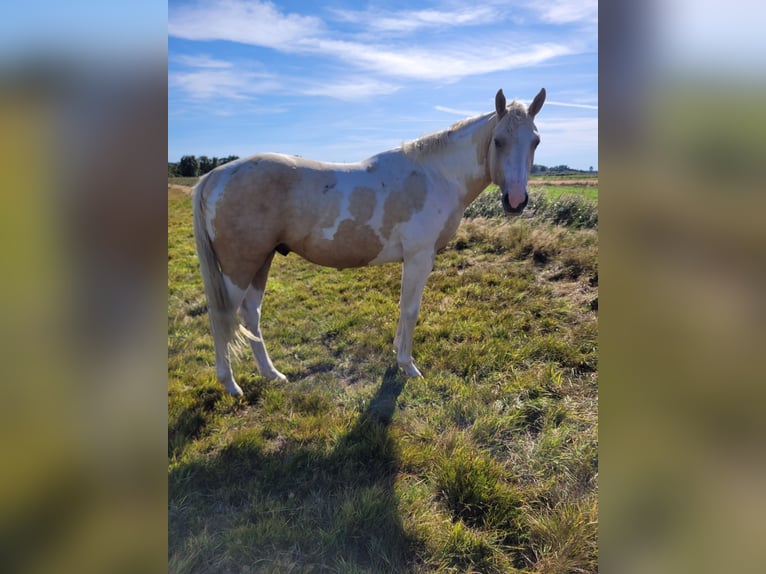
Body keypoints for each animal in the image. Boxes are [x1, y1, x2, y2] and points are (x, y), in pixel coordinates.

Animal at [192, 87, 546, 396]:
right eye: (498, 141)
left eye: (535, 141)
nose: (516, 201)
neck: (435, 175)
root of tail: (214, 175)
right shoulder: (419, 257)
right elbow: (410, 308)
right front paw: (407, 365)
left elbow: (403, 307)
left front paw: (397, 353)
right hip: (240, 266)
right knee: (222, 316)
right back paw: (230, 384)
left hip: (261, 260)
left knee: (250, 314)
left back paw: (272, 374)